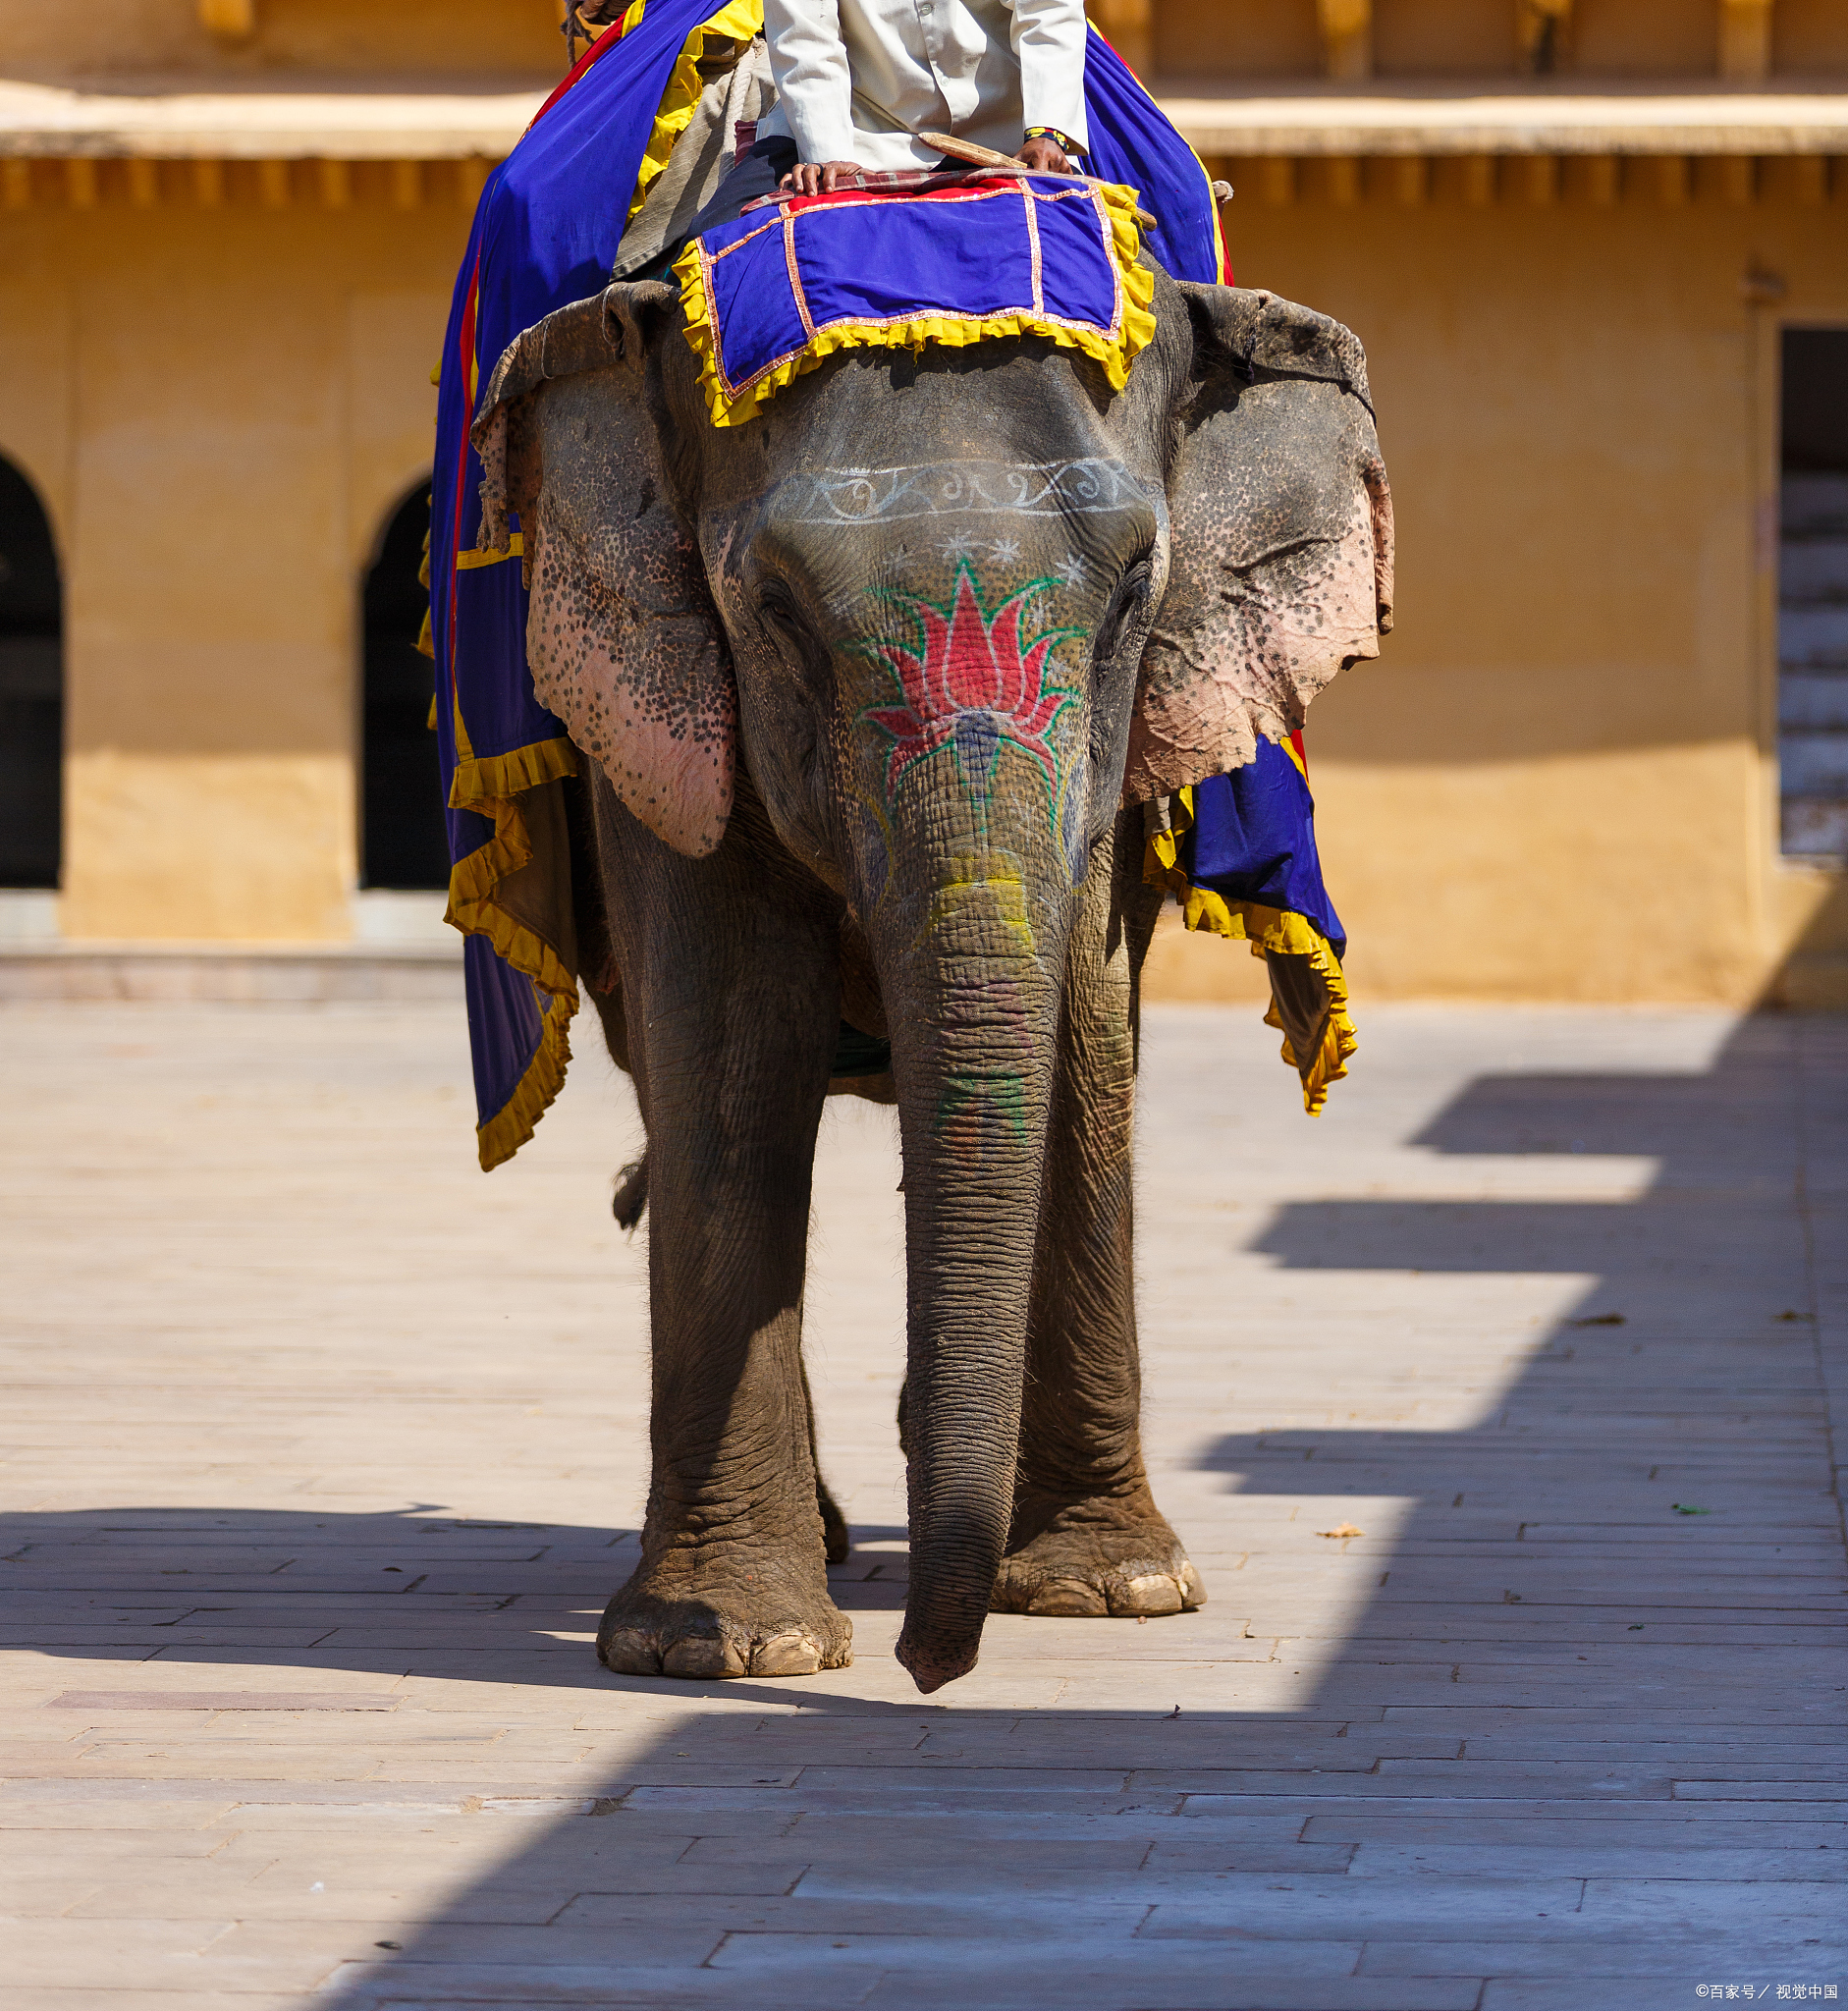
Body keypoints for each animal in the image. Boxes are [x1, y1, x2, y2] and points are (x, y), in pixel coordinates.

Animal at [470, 259, 1393, 1693]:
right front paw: (722, 1647)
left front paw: (1110, 1592)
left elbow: (1082, 1034)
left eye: (1136, 593)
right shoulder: (662, 720)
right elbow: (728, 1045)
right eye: (775, 611)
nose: (922, 1665)